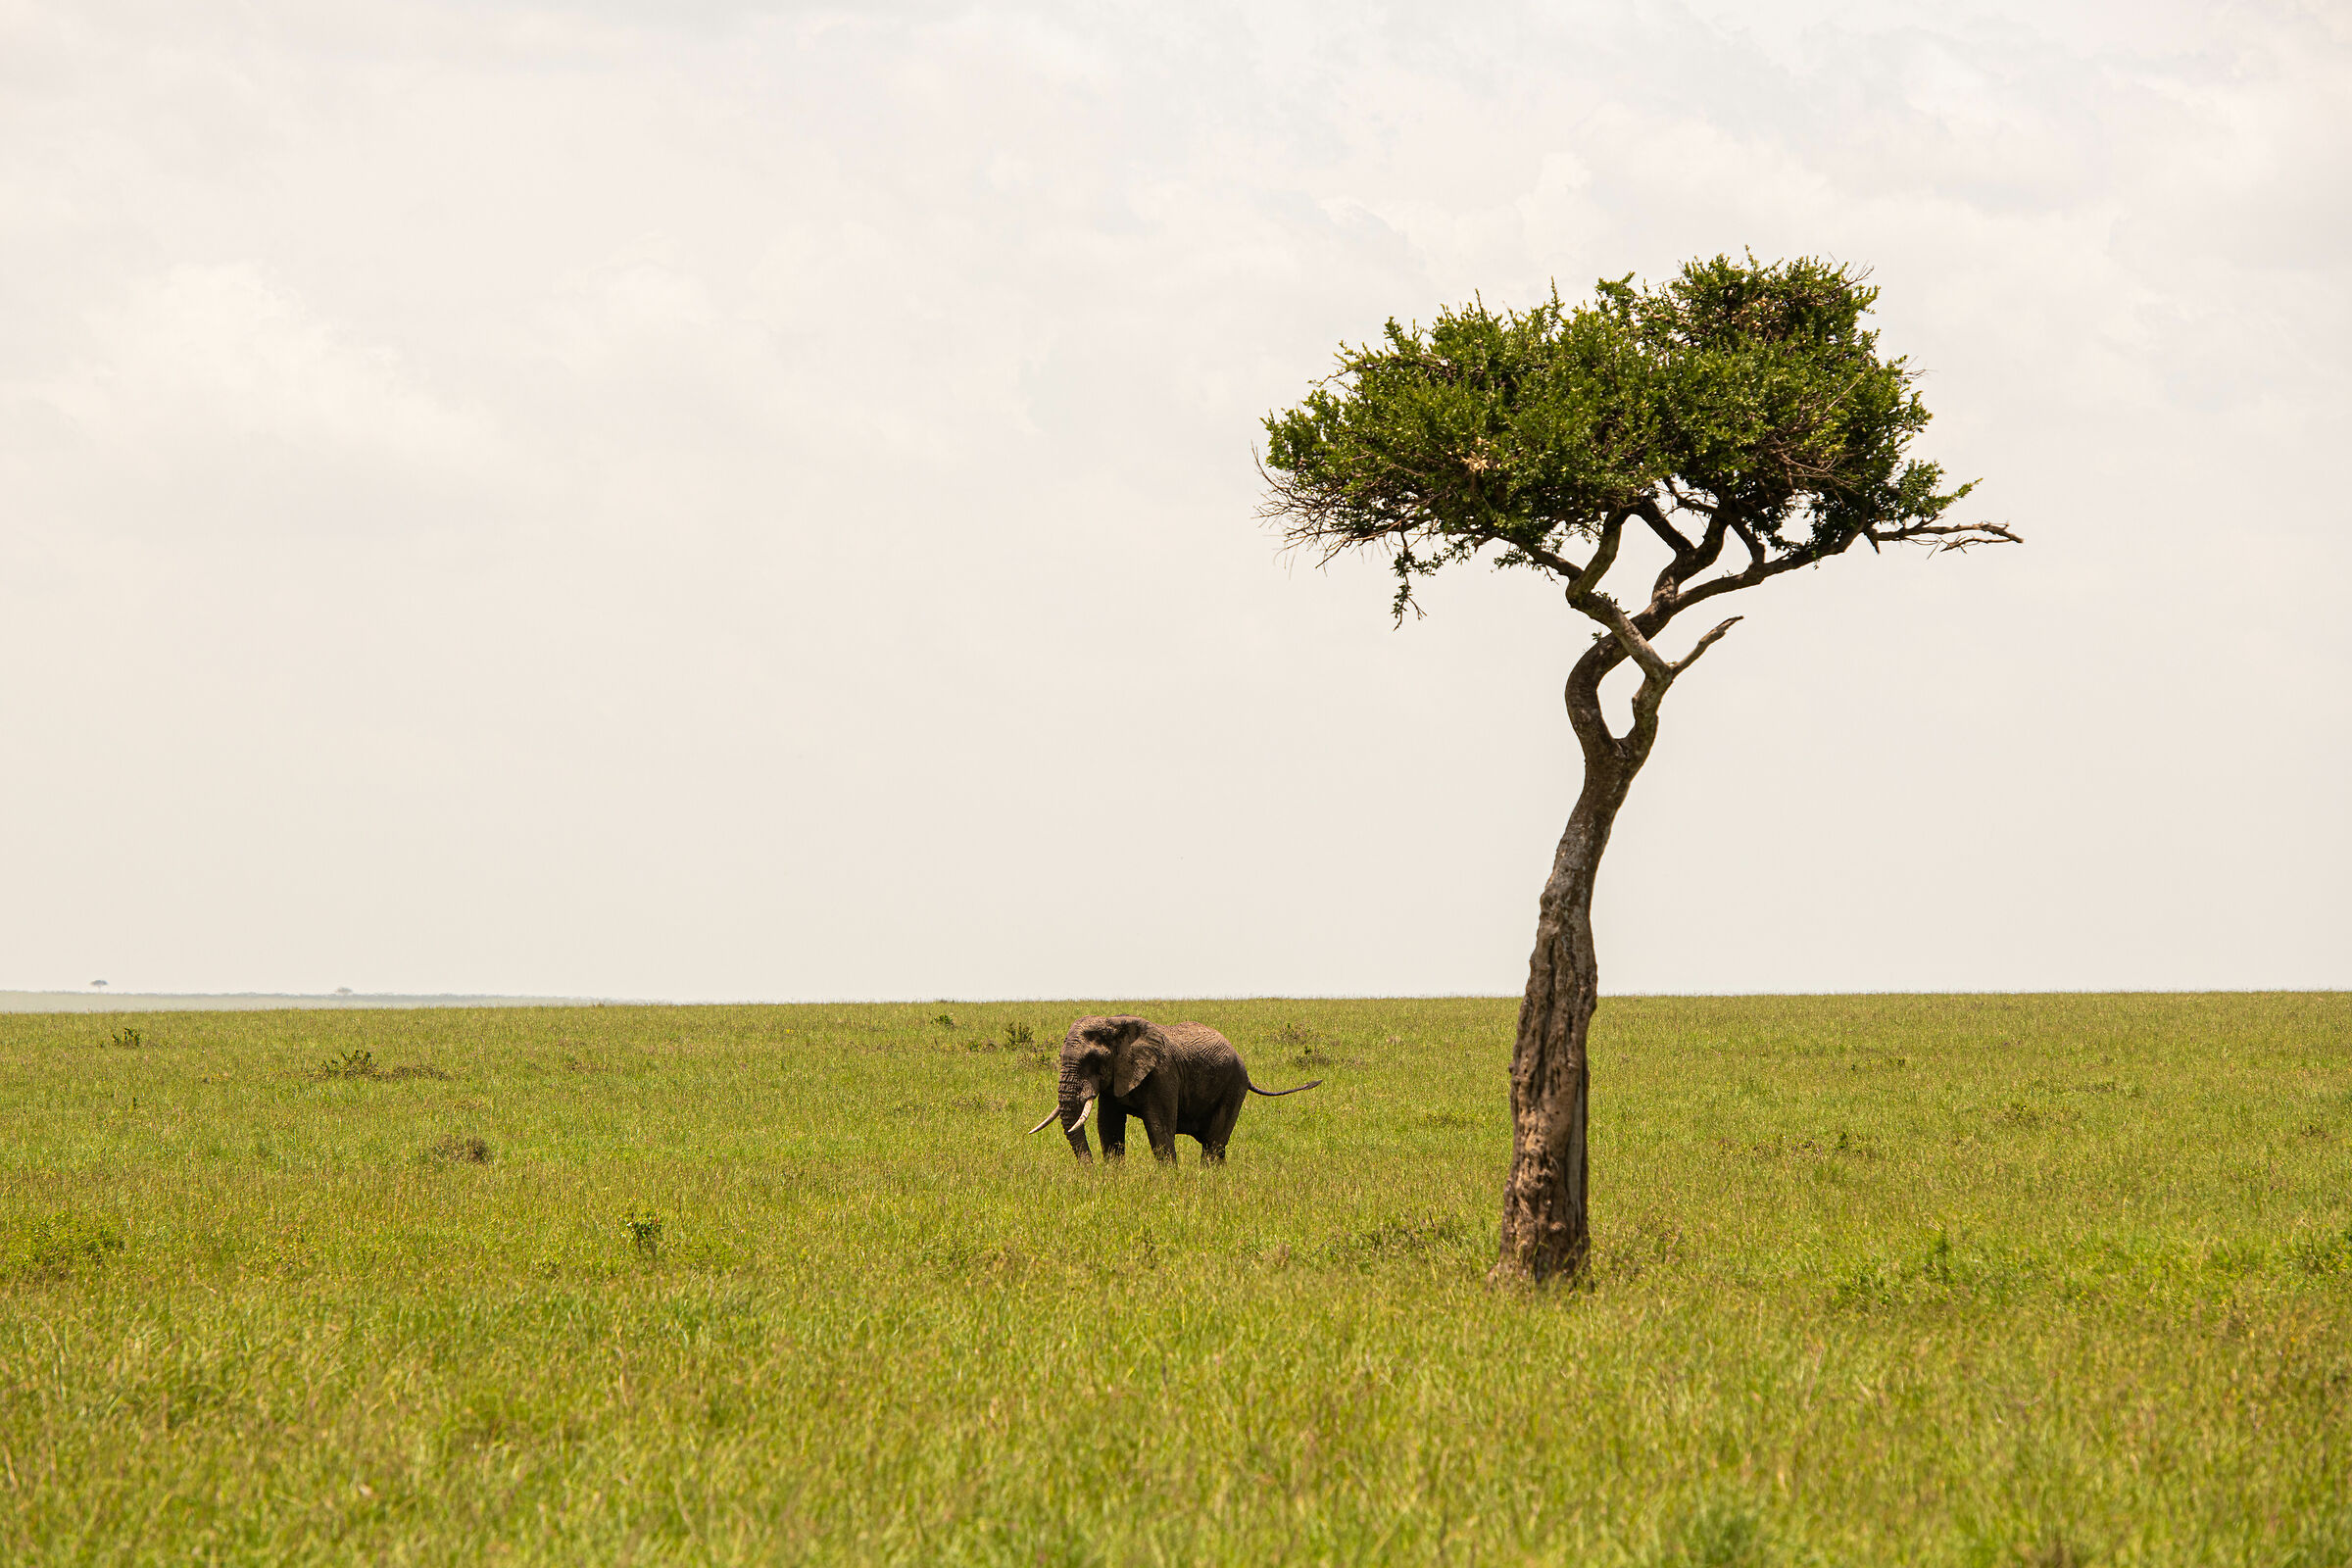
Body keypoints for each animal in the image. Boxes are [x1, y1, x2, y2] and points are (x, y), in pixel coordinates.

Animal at [1026, 1015, 1321, 1164]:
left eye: (1093, 1060)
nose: (1090, 1171)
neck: (1116, 1023)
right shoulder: (1116, 1078)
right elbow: (1108, 1128)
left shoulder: (1162, 1074)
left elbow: (1159, 1129)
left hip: (1233, 1086)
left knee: (1214, 1143)